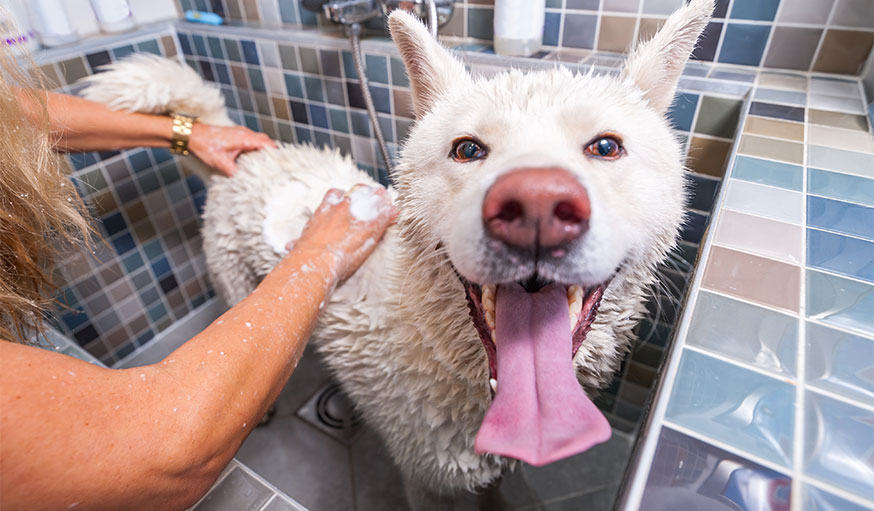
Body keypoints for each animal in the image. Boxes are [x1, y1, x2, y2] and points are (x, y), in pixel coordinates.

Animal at [80, 0, 708, 504]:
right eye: (468, 149)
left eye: (605, 147)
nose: (535, 205)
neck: (443, 353)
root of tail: (243, 157)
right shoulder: (426, 481)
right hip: (239, 295)